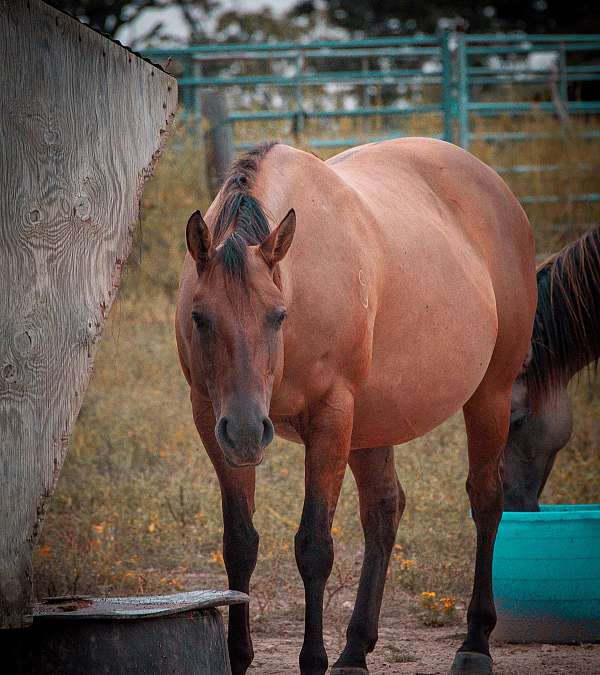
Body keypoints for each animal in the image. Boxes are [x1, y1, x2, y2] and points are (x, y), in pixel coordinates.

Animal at [175, 138, 536, 675]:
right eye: (200, 317)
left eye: (278, 315)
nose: (244, 431)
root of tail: (497, 188)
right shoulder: (210, 419)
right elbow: (239, 544)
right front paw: (238, 657)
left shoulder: (331, 417)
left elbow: (314, 546)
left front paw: (313, 660)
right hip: (371, 424)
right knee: (384, 512)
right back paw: (355, 650)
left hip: (489, 393)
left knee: (486, 500)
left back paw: (474, 643)